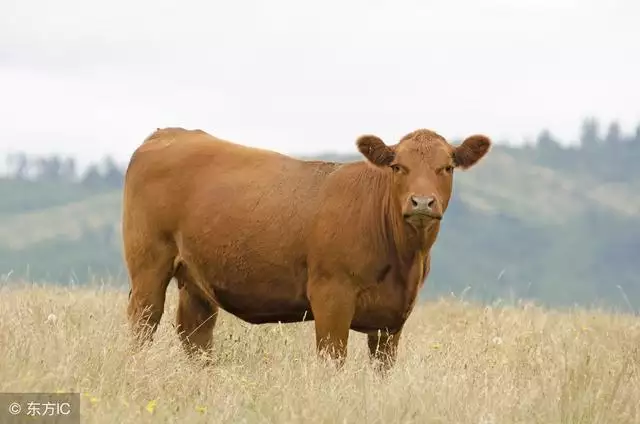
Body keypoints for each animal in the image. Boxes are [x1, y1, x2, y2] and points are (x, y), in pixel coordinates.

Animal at [122, 126, 492, 372]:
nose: (422, 202)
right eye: (398, 166)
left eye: (447, 167)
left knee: (195, 334)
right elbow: (332, 362)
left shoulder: (393, 319)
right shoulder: (331, 297)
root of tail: (170, 133)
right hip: (149, 266)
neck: (405, 260)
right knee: (144, 322)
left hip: (196, 281)